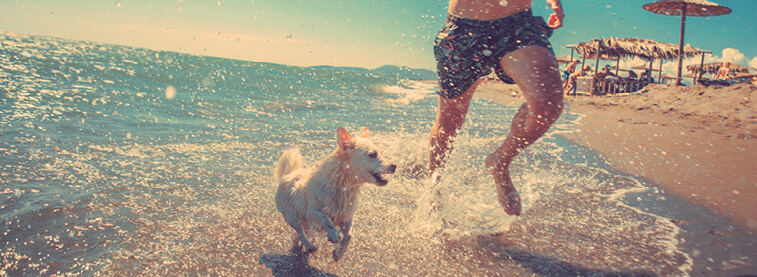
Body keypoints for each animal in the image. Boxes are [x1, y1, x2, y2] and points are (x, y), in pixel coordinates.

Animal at [274, 126, 398, 260]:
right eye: (373, 154)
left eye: (381, 153)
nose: (394, 165)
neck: (343, 186)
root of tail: (288, 174)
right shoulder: (312, 210)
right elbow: (325, 218)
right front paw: (333, 234)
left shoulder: (346, 215)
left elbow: (349, 235)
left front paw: (339, 252)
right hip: (292, 216)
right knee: (300, 231)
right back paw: (309, 246)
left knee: (300, 234)